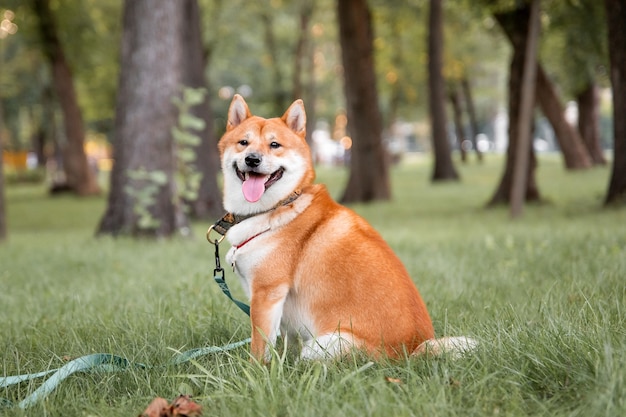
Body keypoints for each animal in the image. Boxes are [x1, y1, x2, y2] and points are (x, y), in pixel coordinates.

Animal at [214, 94, 472, 360]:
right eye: (243, 143)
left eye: (274, 145)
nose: (252, 159)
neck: (278, 207)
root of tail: (412, 350)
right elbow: (279, 342)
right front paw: (279, 364)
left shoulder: (266, 293)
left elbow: (259, 346)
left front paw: (257, 368)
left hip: (325, 343)